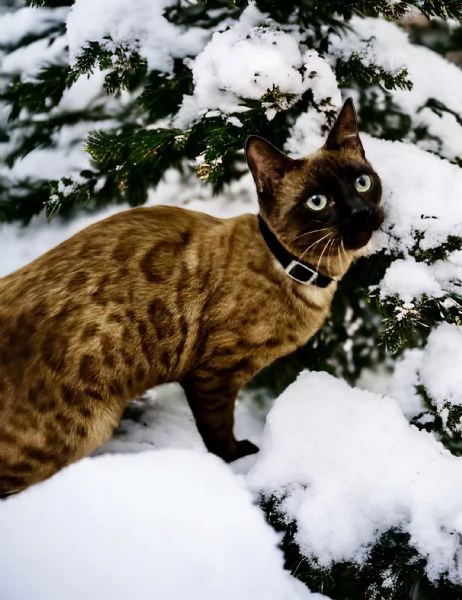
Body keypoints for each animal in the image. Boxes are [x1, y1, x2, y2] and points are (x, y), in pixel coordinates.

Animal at [0, 98, 382, 494]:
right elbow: (219, 432)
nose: (361, 212)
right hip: (83, 430)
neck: (298, 270)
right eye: (318, 202)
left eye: (362, 182)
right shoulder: (212, 374)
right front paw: (238, 459)